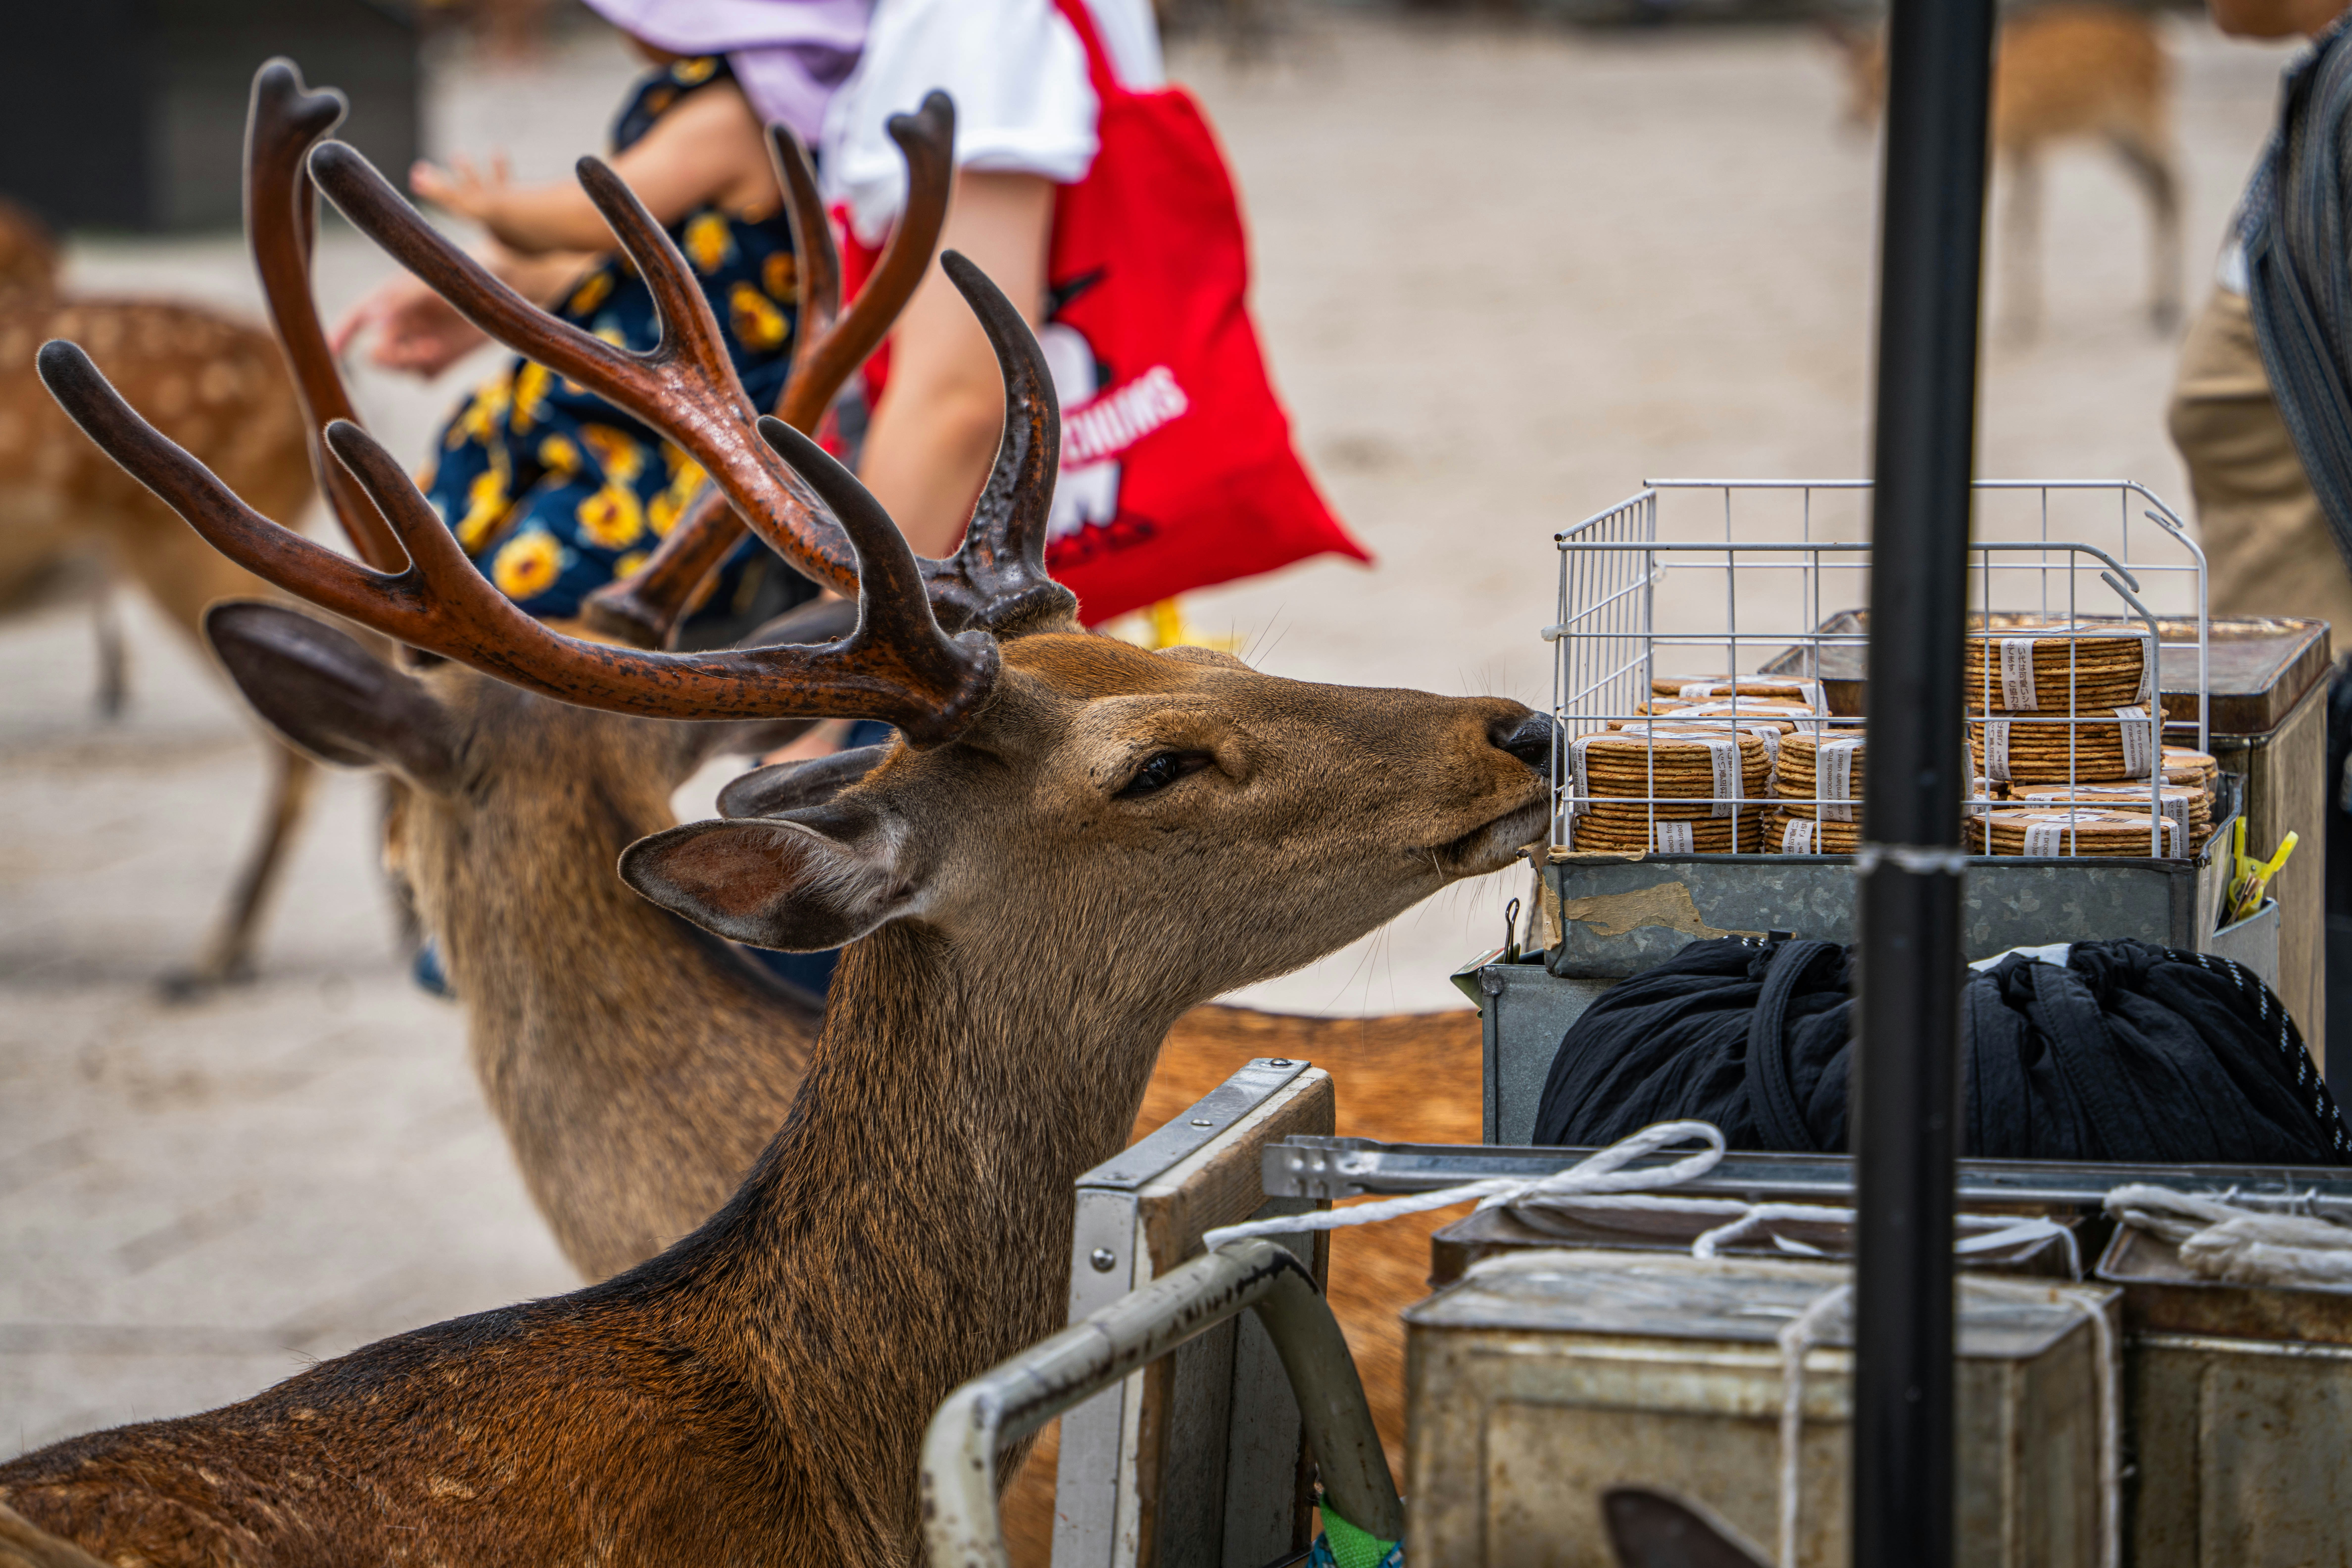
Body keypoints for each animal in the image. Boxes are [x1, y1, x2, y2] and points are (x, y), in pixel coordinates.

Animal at [1827, 0, 2181, 338]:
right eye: (1850, 76)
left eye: (1883, 78)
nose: (1851, 120)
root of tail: (2161, 46)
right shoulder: (2026, 147)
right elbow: (2022, 220)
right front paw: (2026, 317)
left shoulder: (2025, 143)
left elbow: (2017, 222)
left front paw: (2019, 321)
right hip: (2112, 135)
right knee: (2158, 188)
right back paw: (2157, 305)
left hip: (2144, 117)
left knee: (2175, 183)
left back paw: (2167, 309)